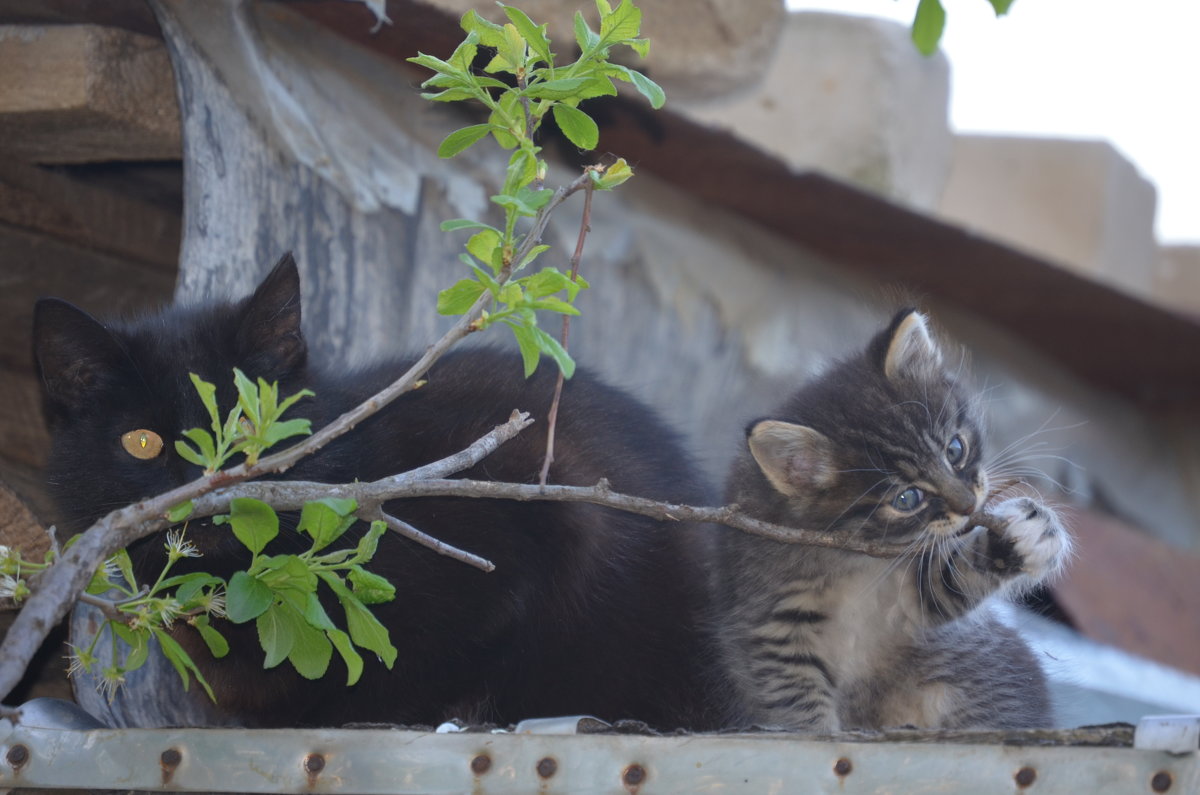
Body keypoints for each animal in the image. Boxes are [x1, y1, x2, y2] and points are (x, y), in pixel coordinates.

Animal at [710, 312, 1070, 734]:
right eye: (907, 498)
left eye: (955, 449)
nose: (969, 505)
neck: (850, 563)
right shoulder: (770, 627)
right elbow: (799, 706)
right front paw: (820, 735)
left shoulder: (911, 599)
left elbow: (953, 579)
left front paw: (1027, 535)